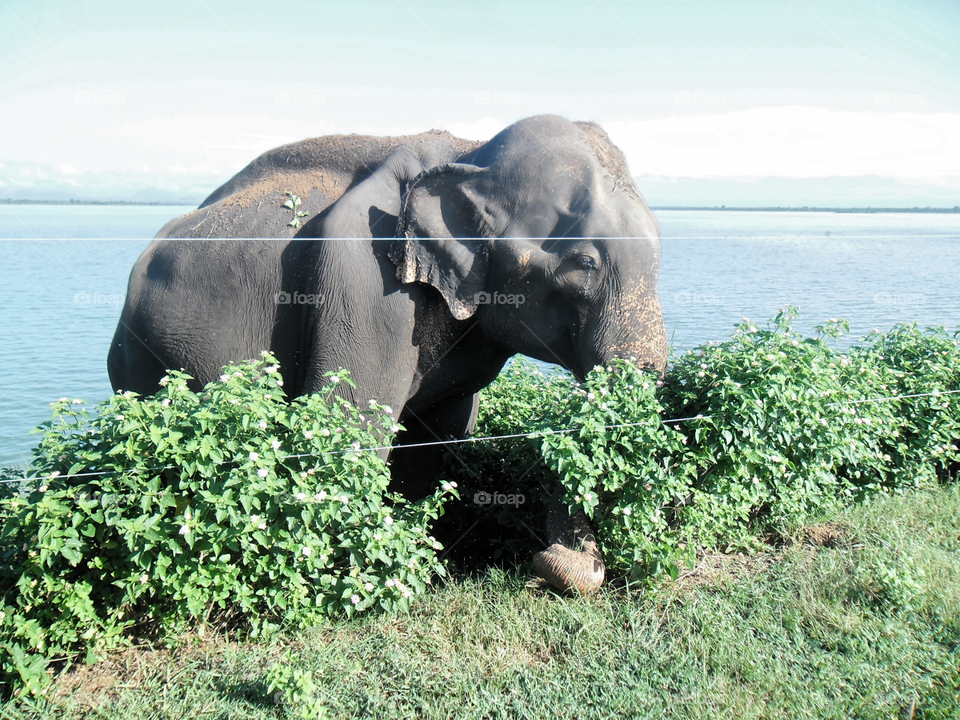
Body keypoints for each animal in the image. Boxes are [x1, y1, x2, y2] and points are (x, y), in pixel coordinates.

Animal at [108, 114, 668, 593]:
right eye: (584, 262)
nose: (551, 564)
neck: (471, 152)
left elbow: (437, 437)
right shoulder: (366, 283)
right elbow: (350, 427)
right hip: (138, 360)